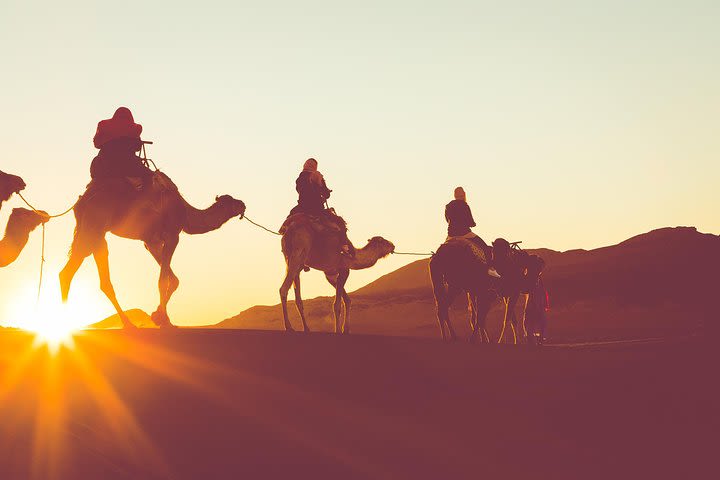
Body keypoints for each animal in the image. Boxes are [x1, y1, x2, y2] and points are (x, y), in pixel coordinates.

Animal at [59, 173, 245, 330]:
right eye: (231, 202)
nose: (242, 204)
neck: (185, 213)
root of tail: (81, 202)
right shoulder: (172, 235)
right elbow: (163, 280)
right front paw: (164, 321)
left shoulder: (151, 242)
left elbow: (173, 279)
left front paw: (158, 316)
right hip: (94, 226)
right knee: (76, 270)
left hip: (96, 234)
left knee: (84, 273)